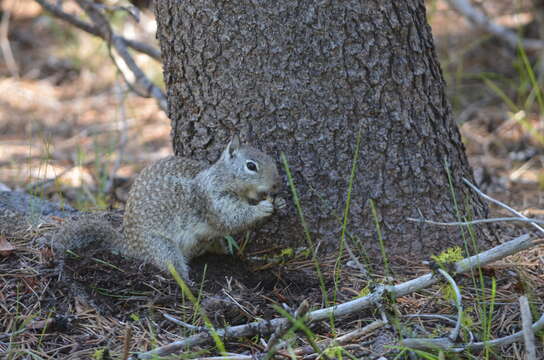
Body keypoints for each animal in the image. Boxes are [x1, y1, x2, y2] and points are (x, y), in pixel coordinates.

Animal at [53, 136, 286, 282]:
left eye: (271, 159)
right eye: (251, 166)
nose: (277, 185)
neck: (220, 177)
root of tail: (129, 244)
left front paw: (279, 202)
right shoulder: (212, 199)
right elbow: (231, 218)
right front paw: (262, 208)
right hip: (161, 246)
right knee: (172, 265)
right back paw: (188, 284)